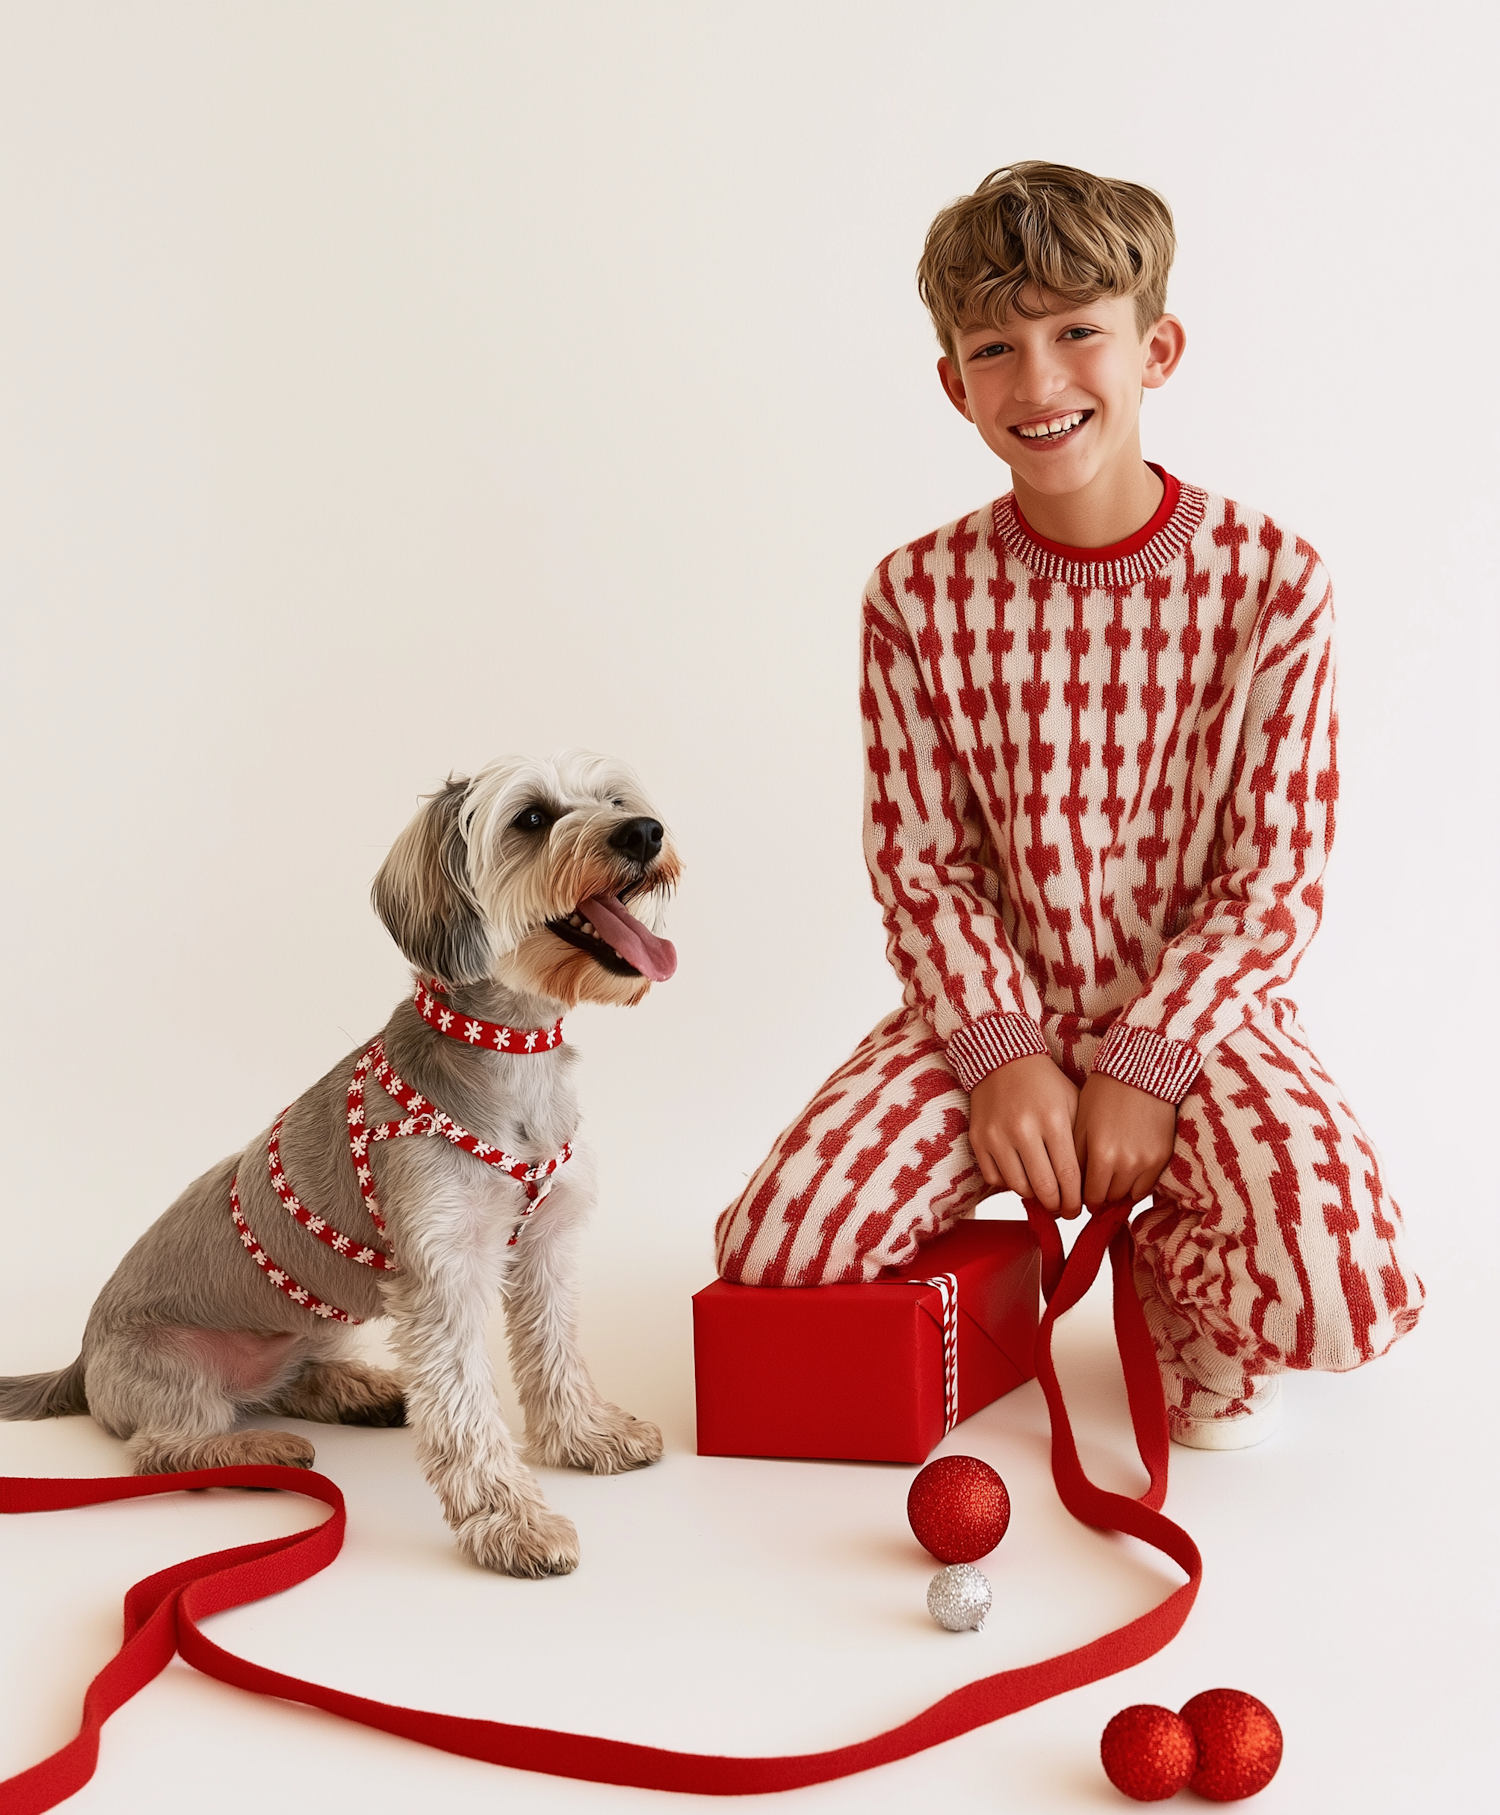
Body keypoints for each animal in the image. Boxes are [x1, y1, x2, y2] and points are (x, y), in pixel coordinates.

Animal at [0, 751, 679, 1575]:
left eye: (613, 799)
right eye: (531, 819)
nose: (644, 831)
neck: (509, 1056)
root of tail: (81, 1357)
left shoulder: (545, 1246)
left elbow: (556, 1354)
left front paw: (585, 1437)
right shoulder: (442, 1276)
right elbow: (464, 1408)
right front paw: (510, 1521)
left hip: (309, 1327)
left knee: (291, 1378)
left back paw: (363, 1392)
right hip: (173, 1367)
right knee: (165, 1448)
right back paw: (257, 1451)